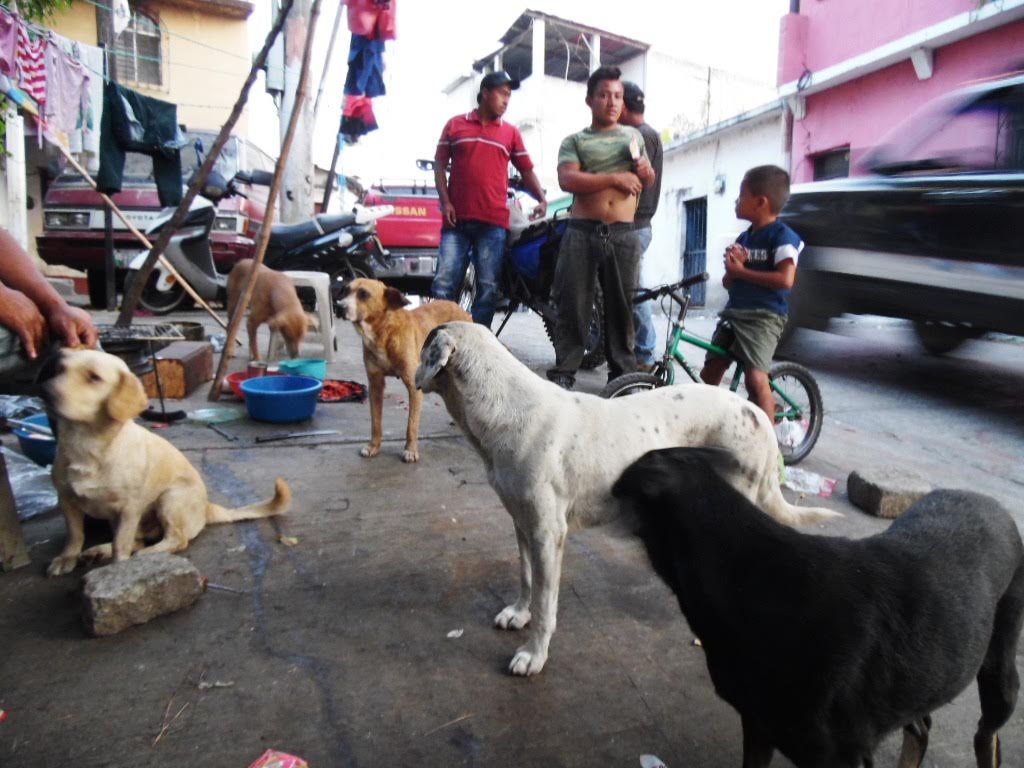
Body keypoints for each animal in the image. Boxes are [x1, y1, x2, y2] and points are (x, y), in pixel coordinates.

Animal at [43, 350, 290, 577]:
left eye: (94, 377)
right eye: (60, 369)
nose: (46, 393)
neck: (86, 446)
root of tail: (206, 507)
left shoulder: (129, 509)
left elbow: (120, 545)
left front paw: (119, 571)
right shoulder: (66, 500)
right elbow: (75, 535)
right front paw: (67, 558)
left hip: (170, 499)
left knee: (175, 540)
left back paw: (145, 555)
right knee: (138, 541)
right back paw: (99, 551)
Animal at [339, 280, 471, 466]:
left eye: (364, 294)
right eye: (344, 291)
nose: (339, 307)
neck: (383, 333)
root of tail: (459, 307)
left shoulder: (414, 386)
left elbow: (411, 425)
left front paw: (410, 450)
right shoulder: (375, 385)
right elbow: (375, 422)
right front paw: (374, 446)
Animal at [415, 321, 839, 675]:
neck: (505, 407)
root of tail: (759, 414)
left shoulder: (549, 534)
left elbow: (545, 603)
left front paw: (534, 655)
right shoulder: (523, 523)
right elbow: (525, 578)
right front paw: (519, 613)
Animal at [610, 448, 1019, 765]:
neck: (747, 575)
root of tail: (993, 503)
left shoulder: (836, 757)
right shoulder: (758, 726)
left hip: (999, 674)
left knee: (986, 736)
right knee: (921, 727)